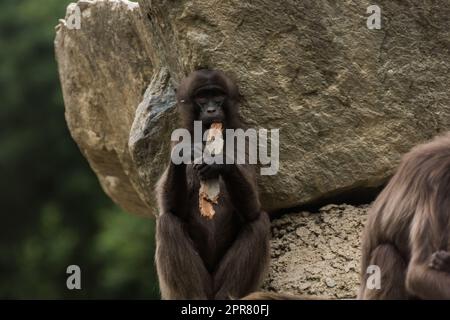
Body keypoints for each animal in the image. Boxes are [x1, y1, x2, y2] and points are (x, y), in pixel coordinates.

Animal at [155, 69, 268, 300]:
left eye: (217, 96)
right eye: (201, 97)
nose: (210, 109)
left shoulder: (243, 138)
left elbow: (252, 209)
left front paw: (220, 163)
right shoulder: (178, 137)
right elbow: (171, 209)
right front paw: (183, 155)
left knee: (258, 222)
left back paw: (228, 296)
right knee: (167, 223)